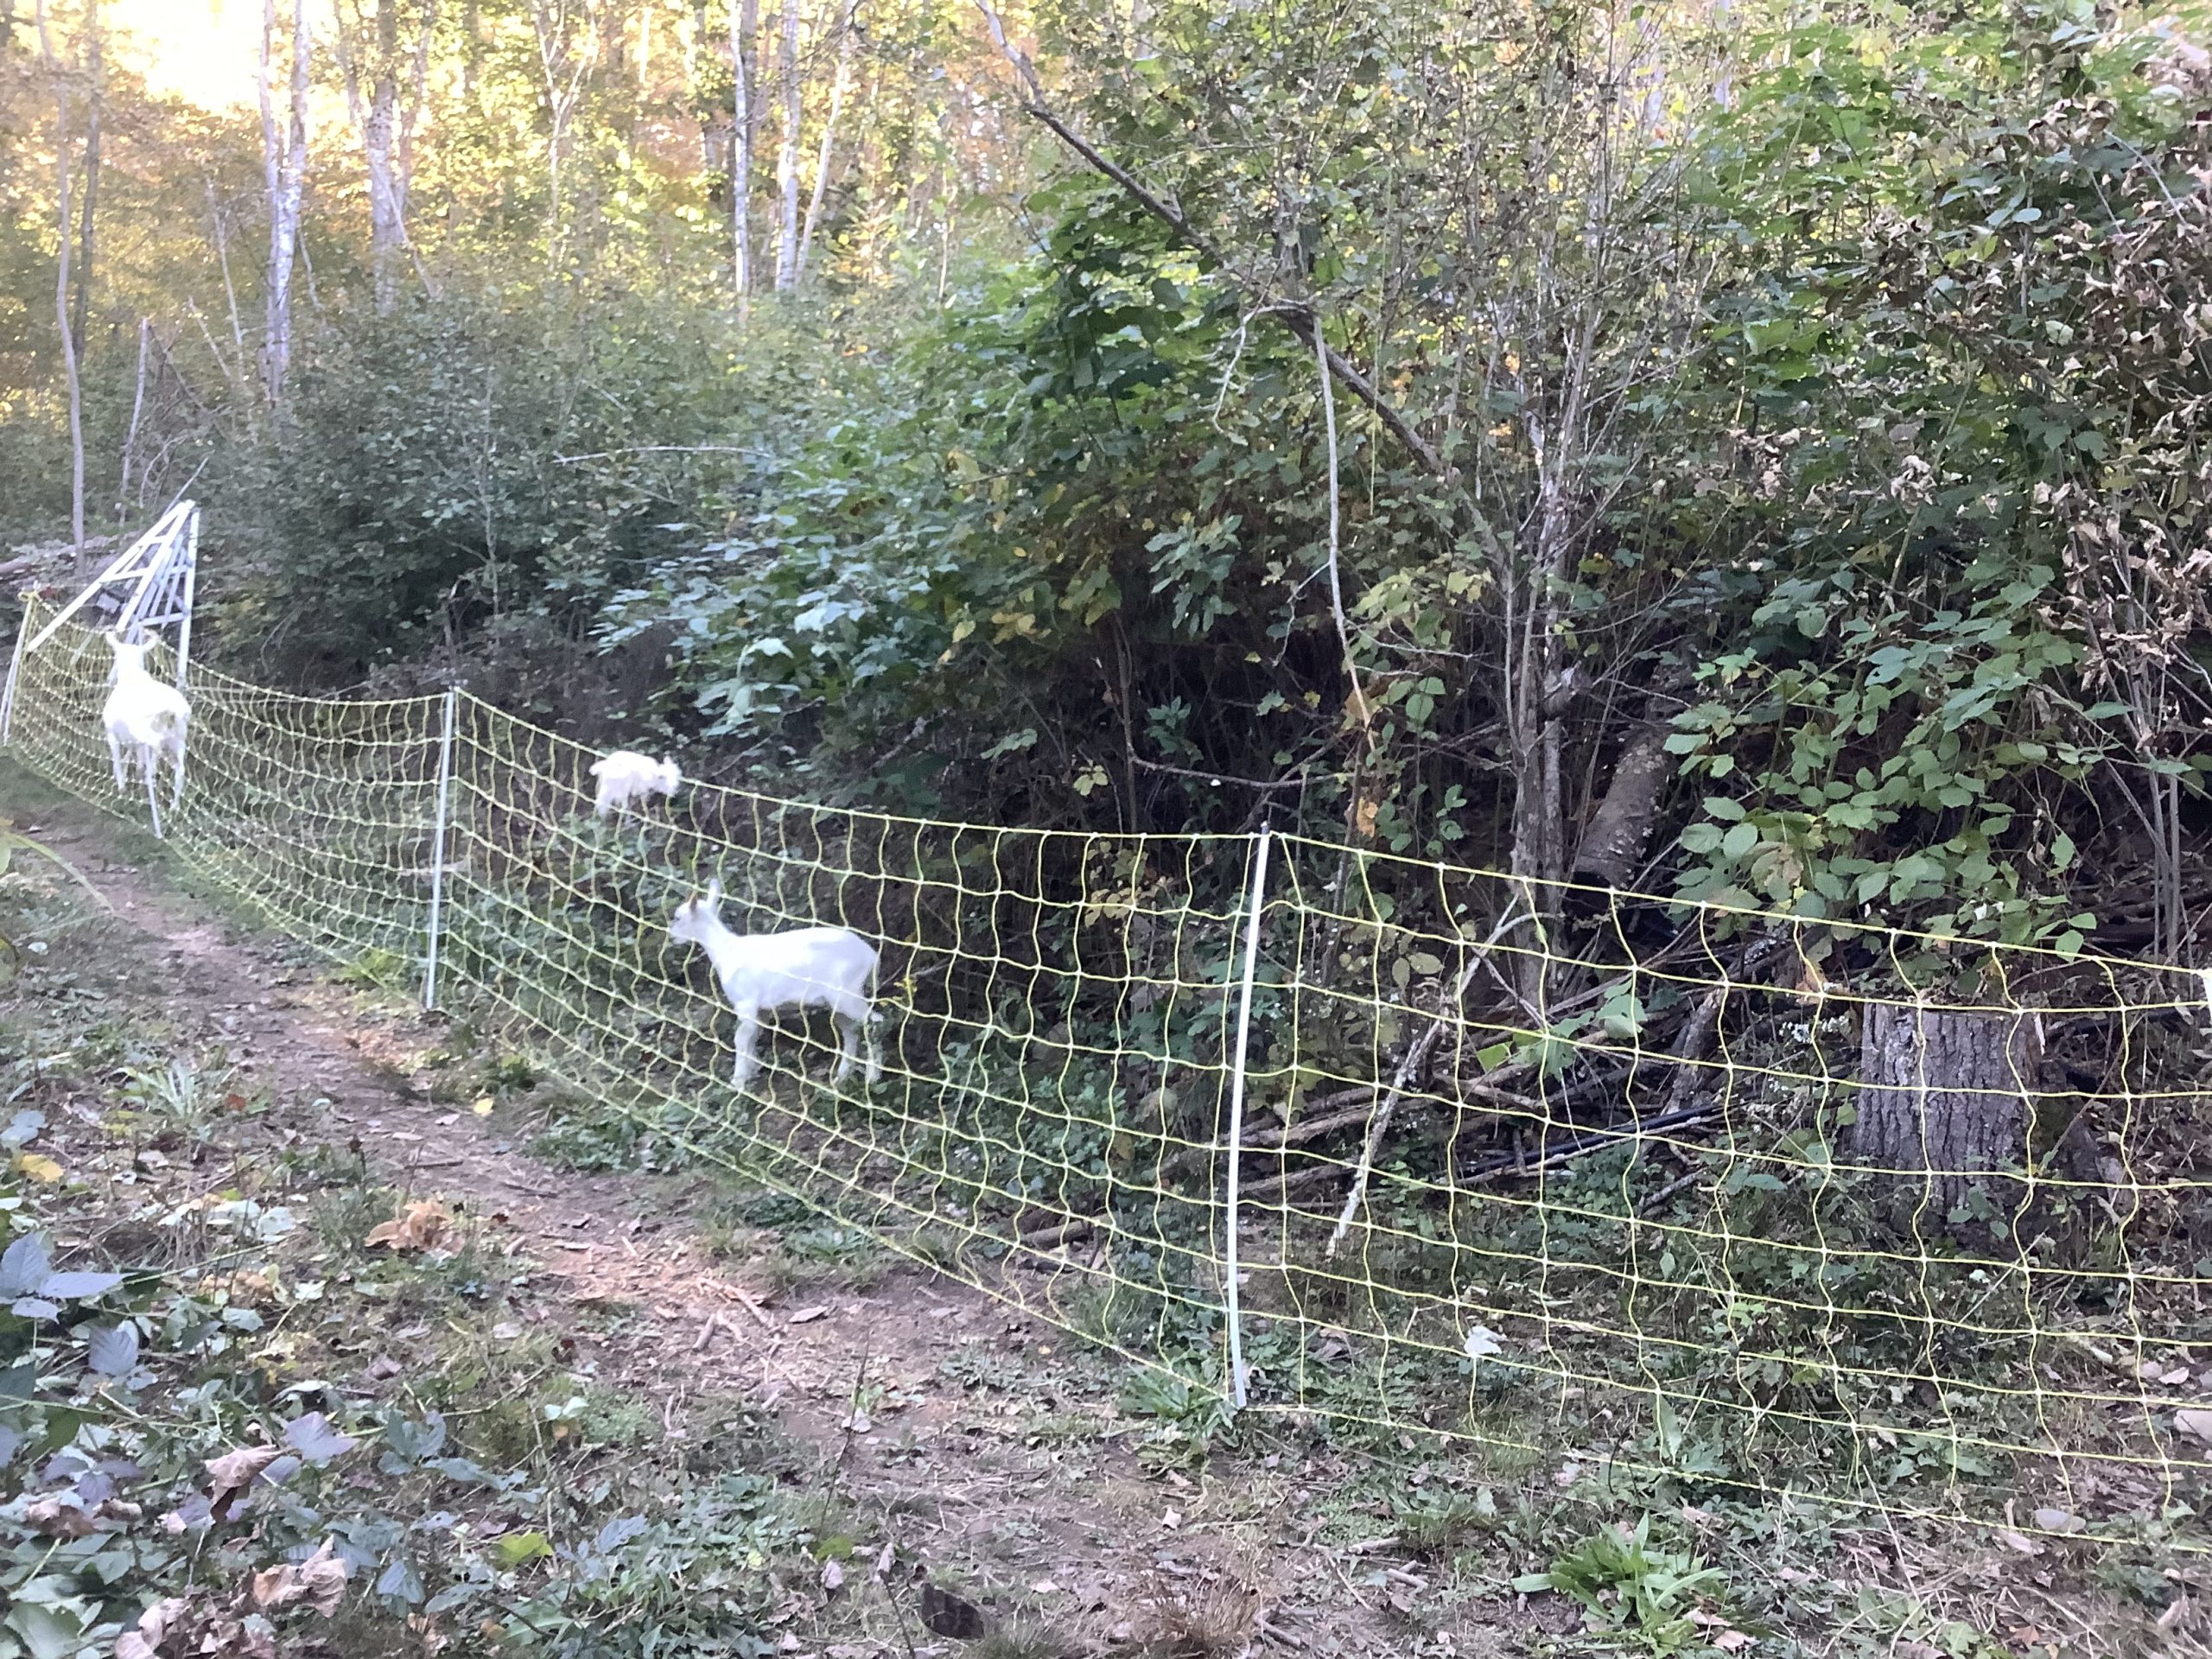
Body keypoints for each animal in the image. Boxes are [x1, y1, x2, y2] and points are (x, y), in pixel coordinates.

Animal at [103, 637, 190, 844]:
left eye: (115, 655)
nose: (109, 677)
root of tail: (172, 711)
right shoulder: (134, 743)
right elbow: (132, 760)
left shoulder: (112, 735)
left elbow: (118, 763)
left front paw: (122, 789)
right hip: (178, 739)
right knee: (180, 770)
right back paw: (173, 809)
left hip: (148, 733)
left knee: (155, 754)